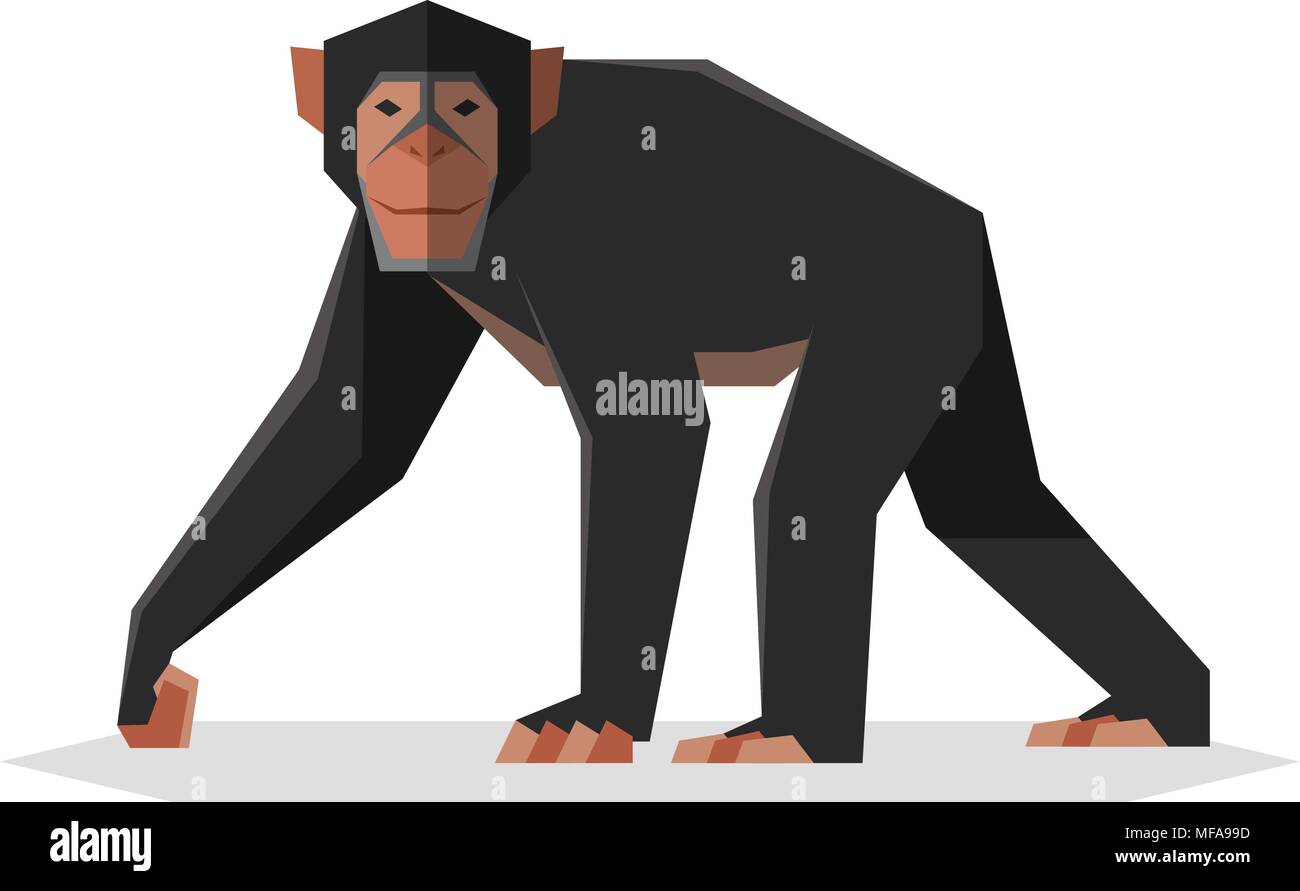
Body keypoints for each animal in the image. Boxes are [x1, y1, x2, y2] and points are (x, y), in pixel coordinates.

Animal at [117, 2, 1209, 762]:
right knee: (994, 509)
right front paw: (148, 660)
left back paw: (799, 739)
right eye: (384, 106)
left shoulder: (582, 236)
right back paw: (1165, 708)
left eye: (465, 106)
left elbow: (648, 423)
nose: (423, 144)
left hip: (904, 302)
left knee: (811, 495)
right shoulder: (384, 249)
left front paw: (593, 718)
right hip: (952, 330)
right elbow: (345, 432)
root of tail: (959, 220)